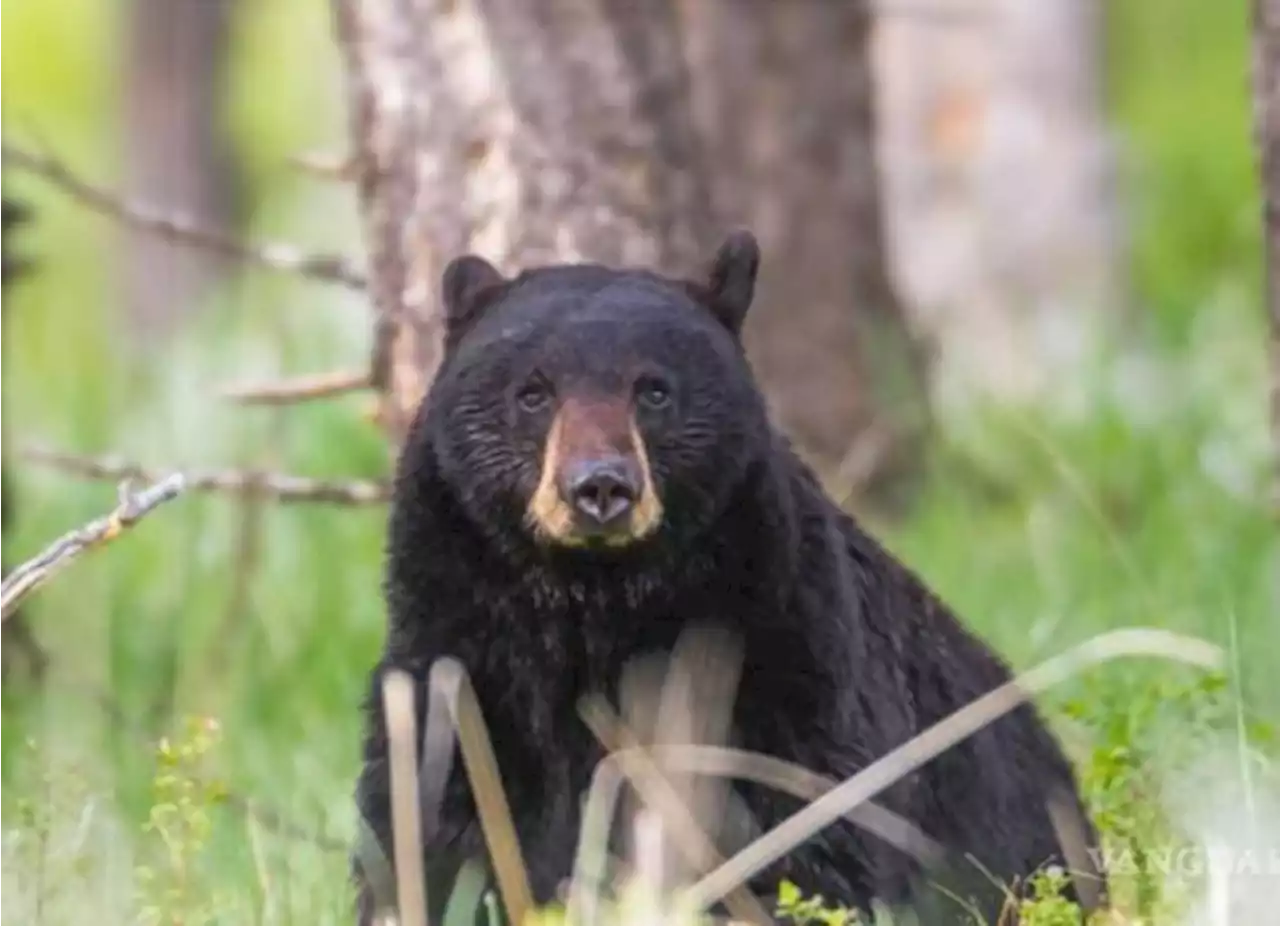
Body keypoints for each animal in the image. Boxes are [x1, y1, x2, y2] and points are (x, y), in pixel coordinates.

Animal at [355, 231, 1105, 926]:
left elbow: (813, 825)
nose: (600, 487)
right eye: (533, 393)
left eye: (653, 390)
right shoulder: (464, 659)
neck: (595, 605)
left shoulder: (782, 653)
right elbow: (430, 818)